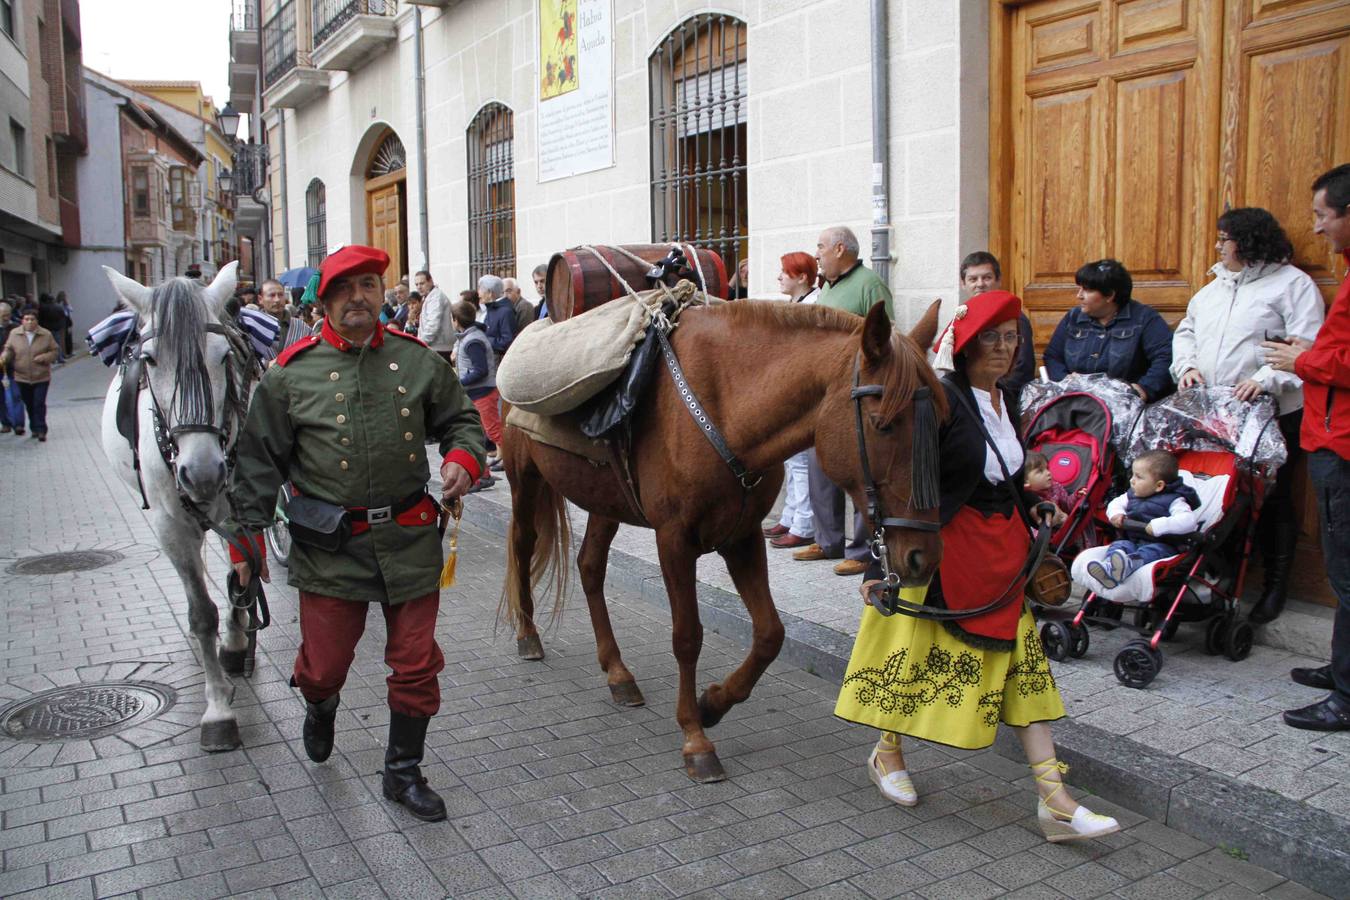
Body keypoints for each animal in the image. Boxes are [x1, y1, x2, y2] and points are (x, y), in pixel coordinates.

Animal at [98, 260, 259, 755]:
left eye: (224, 357)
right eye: (150, 360)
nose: (202, 472)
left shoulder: (244, 507)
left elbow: (242, 573)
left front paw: (235, 644)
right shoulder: (171, 525)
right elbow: (201, 613)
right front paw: (218, 709)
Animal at [502, 296, 945, 782]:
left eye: (941, 422)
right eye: (884, 425)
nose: (923, 556)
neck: (723, 408)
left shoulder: (742, 537)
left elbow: (770, 634)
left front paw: (712, 704)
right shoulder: (674, 541)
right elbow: (687, 637)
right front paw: (695, 738)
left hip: (604, 502)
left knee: (590, 568)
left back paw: (618, 674)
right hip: (525, 481)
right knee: (523, 547)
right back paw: (528, 635)